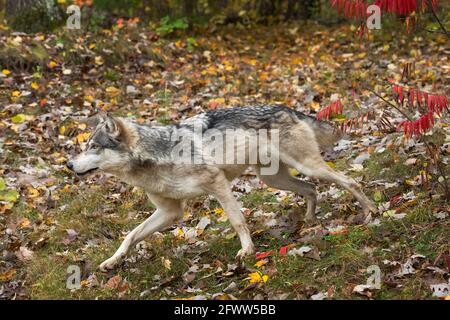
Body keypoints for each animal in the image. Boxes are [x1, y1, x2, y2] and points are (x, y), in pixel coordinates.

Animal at [67, 105, 376, 270]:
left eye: (93, 147)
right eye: (85, 146)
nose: (69, 165)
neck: (157, 154)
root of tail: (287, 108)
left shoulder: (218, 185)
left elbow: (238, 221)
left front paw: (247, 251)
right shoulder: (170, 213)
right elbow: (130, 235)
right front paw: (112, 261)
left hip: (307, 166)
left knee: (348, 180)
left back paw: (371, 212)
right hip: (274, 179)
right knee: (311, 188)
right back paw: (311, 220)